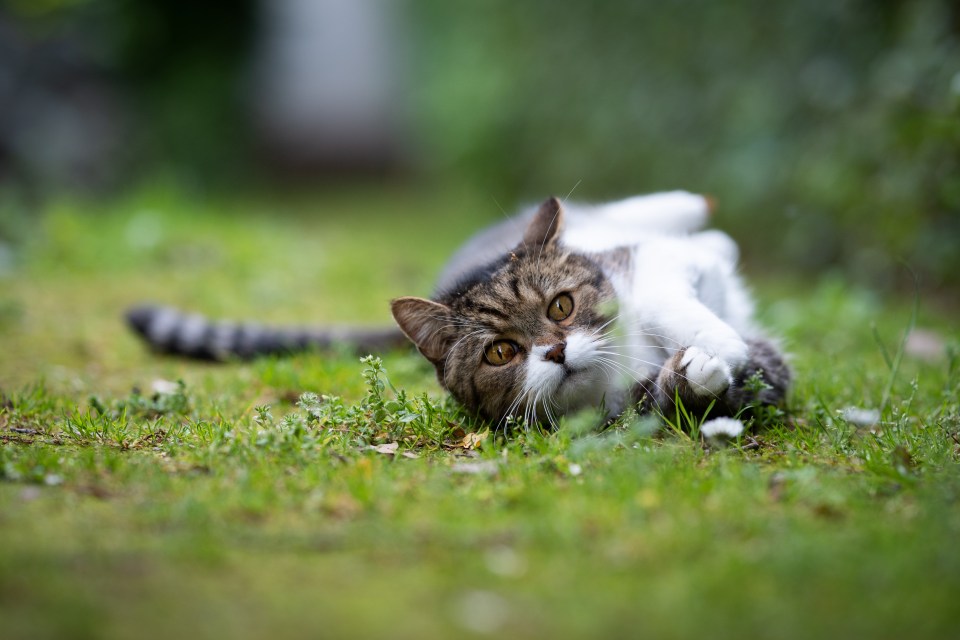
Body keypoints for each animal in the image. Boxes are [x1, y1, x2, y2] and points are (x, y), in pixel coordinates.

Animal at [127, 192, 788, 428]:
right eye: (501, 353)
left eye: (562, 306)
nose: (555, 351)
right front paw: (703, 367)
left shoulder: (651, 266)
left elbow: (662, 292)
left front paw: (715, 343)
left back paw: (699, 212)